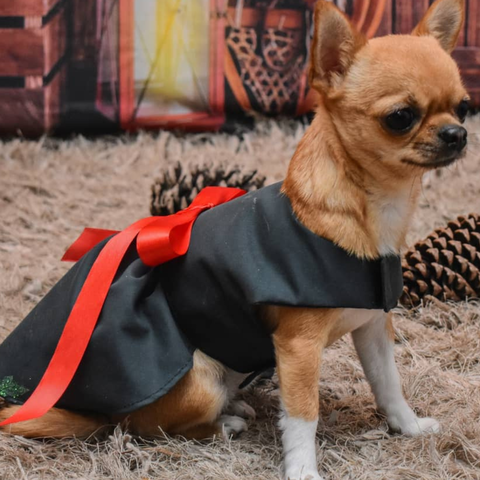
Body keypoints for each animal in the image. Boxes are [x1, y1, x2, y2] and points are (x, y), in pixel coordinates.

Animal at [0, 0, 468, 480]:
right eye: (400, 117)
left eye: (463, 107)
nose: (457, 133)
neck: (373, 212)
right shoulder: (298, 349)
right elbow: (303, 415)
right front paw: (303, 468)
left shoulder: (373, 328)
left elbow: (388, 383)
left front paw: (408, 426)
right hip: (199, 382)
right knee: (145, 427)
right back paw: (224, 423)